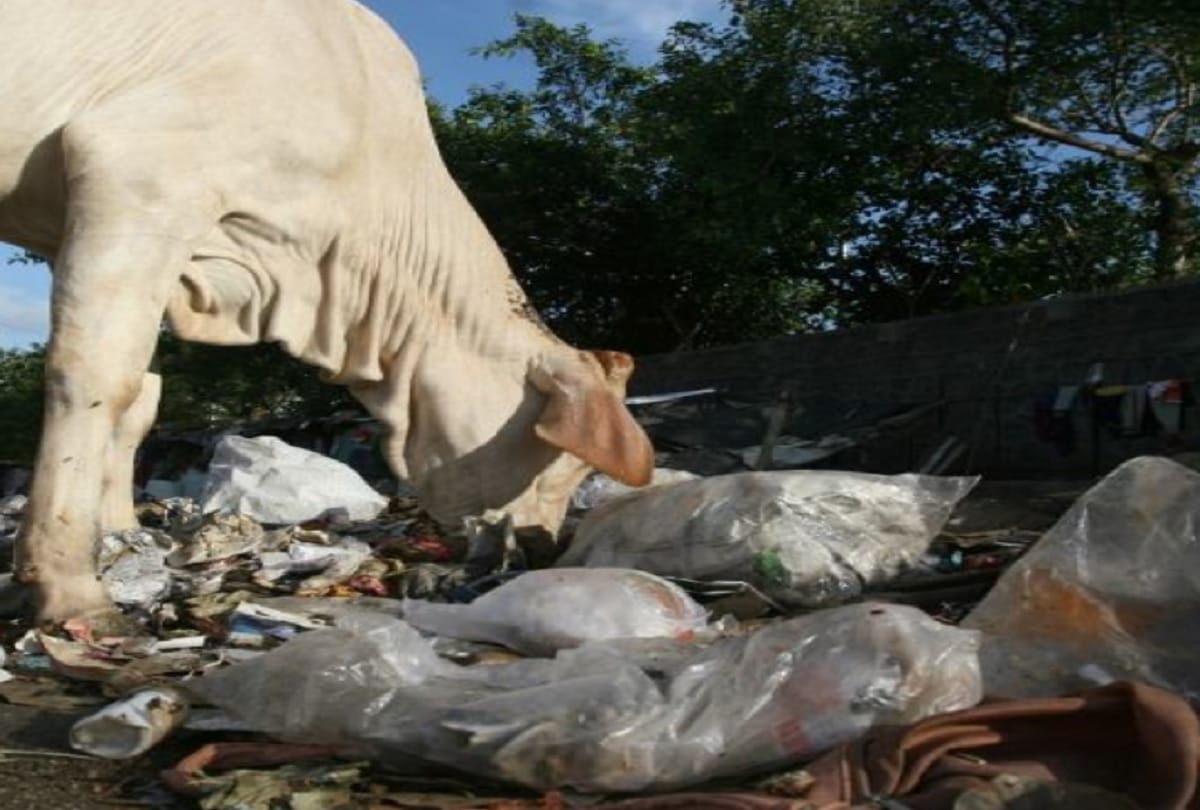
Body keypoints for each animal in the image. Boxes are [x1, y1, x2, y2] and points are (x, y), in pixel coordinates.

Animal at [0, 0, 654, 623]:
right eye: (564, 465)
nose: (544, 548)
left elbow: (141, 400)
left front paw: (119, 534)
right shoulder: (143, 172)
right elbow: (98, 379)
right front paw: (69, 581)